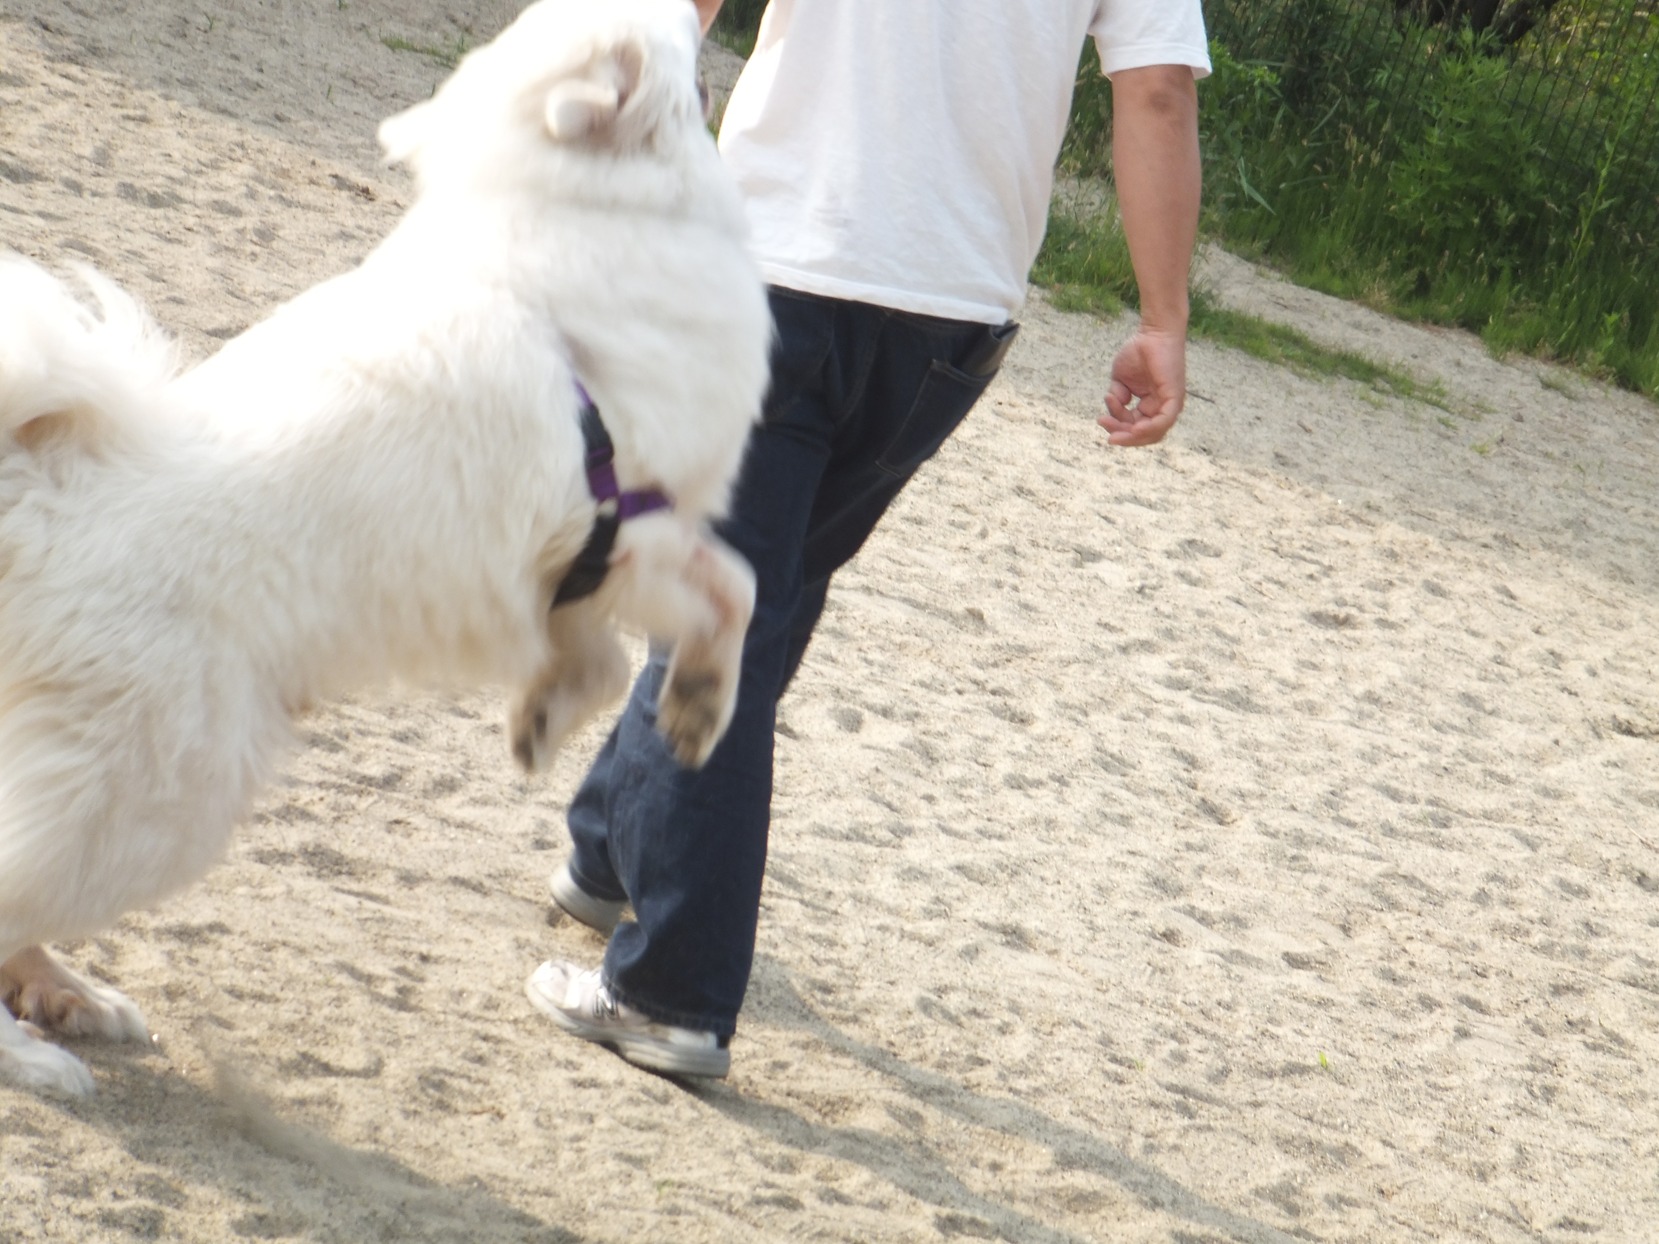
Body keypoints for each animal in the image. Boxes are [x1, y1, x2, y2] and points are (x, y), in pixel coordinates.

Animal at [0, 0, 771, 1095]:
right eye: (656, 31)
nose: (707, 14)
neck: (578, 200)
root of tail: (55, 493)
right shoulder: (635, 526)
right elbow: (733, 591)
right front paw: (698, 713)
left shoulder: (569, 570)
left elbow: (599, 657)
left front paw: (542, 720)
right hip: (148, 799)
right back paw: (33, 1054)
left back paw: (73, 997)